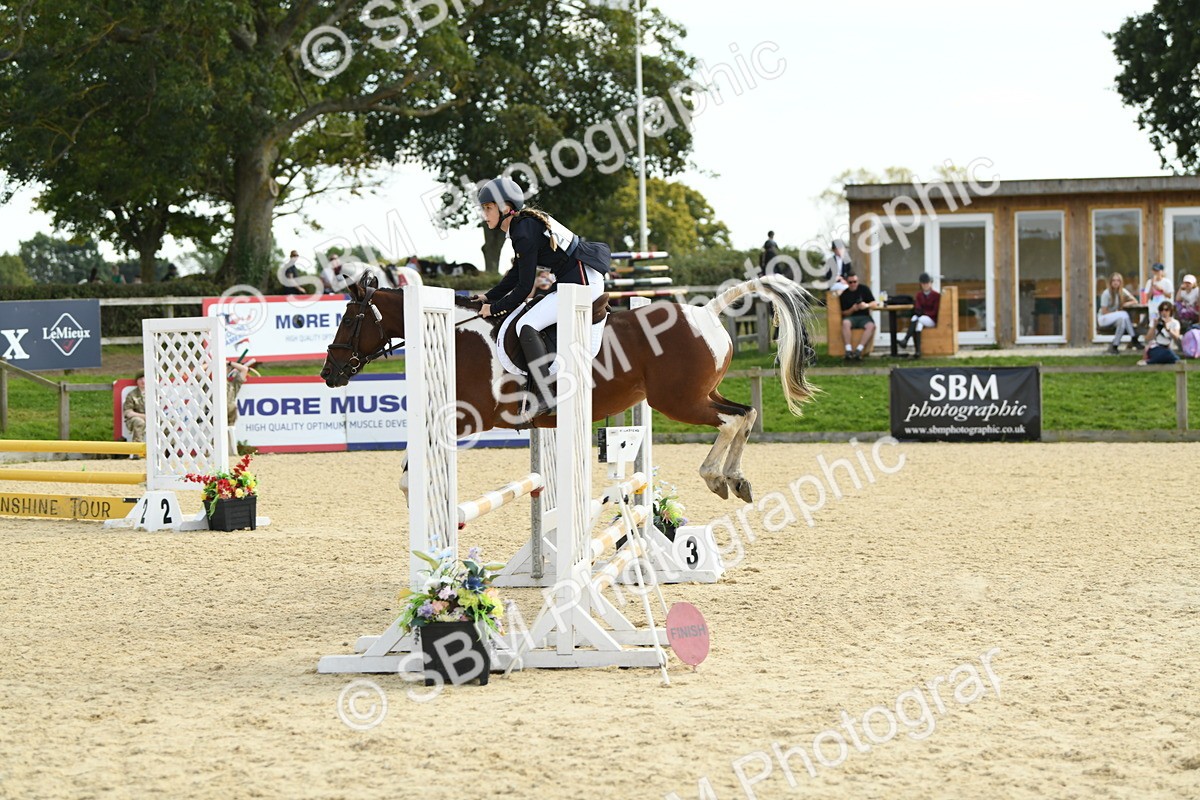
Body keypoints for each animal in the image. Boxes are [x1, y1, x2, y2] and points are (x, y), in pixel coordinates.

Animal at [320, 273, 818, 503]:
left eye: (348, 318)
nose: (330, 371)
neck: (457, 337)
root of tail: (708, 312)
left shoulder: (464, 418)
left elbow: (412, 467)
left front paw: (418, 497)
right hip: (697, 395)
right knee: (745, 415)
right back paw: (735, 478)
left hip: (678, 401)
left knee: (733, 420)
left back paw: (717, 476)